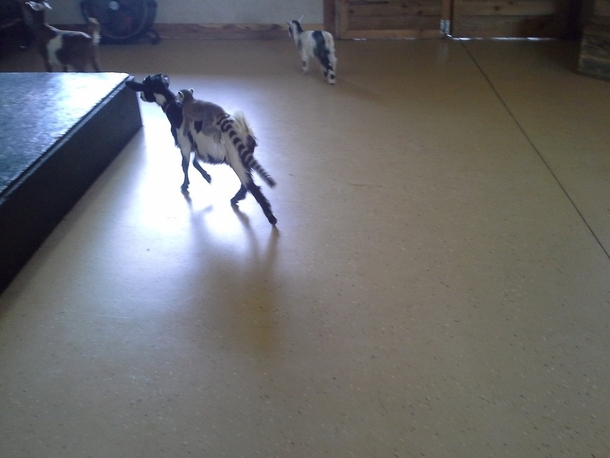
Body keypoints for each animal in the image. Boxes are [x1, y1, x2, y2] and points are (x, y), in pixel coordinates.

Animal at [124, 74, 276, 226]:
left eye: (146, 86)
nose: (141, 96)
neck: (176, 110)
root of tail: (245, 131)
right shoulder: (197, 147)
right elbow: (195, 163)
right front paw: (207, 177)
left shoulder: (184, 145)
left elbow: (185, 165)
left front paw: (185, 185)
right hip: (243, 160)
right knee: (247, 183)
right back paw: (236, 199)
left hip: (236, 159)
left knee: (252, 186)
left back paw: (271, 218)